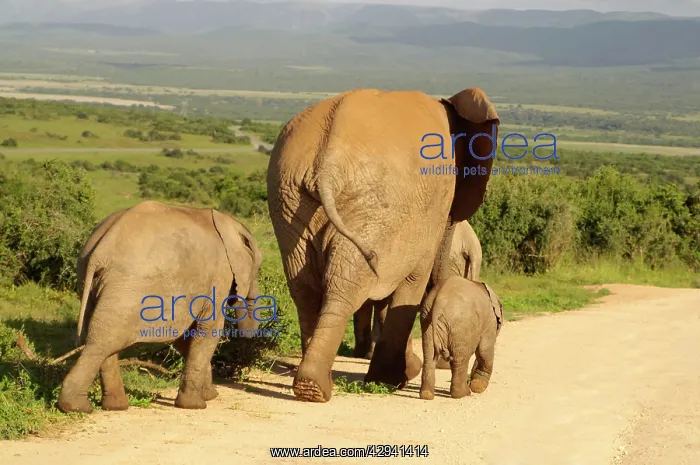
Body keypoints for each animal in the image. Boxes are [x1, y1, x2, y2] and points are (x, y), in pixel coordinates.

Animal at [57, 200, 263, 413]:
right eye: (258, 269)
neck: (228, 223)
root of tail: (99, 252)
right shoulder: (220, 275)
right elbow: (208, 330)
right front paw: (196, 405)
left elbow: (185, 337)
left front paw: (209, 396)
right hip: (126, 289)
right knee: (103, 341)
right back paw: (77, 407)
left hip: (91, 282)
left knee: (103, 339)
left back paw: (115, 406)